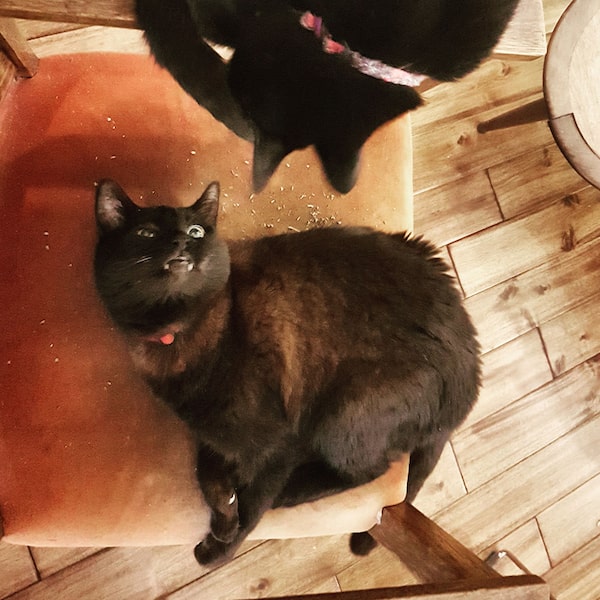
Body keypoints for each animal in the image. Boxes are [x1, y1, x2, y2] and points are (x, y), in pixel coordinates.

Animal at [94, 178, 481, 566]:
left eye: (196, 231)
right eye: (146, 233)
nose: (180, 242)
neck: (181, 332)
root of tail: (470, 378)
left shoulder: (281, 444)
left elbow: (253, 505)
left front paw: (221, 547)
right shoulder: (213, 435)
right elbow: (205, 475)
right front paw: (224, 516)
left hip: (346, 409)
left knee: (369, 469)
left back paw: (290, 493)